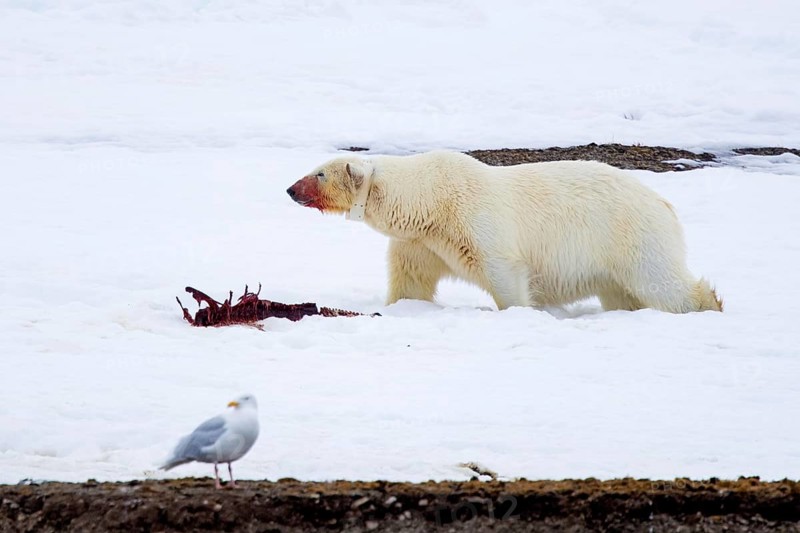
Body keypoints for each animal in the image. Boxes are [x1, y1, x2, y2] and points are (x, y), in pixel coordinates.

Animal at [286, 150, 722, 313]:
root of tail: (663, 203)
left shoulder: (477, 221)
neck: (431, 201)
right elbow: (411, 280)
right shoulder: (421, 242)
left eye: (319, 174)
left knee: (660, 282)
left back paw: (708, 303)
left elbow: (504, 272)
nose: (290, 189)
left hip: (629, 234)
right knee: (623, 292)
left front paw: (519, 312)